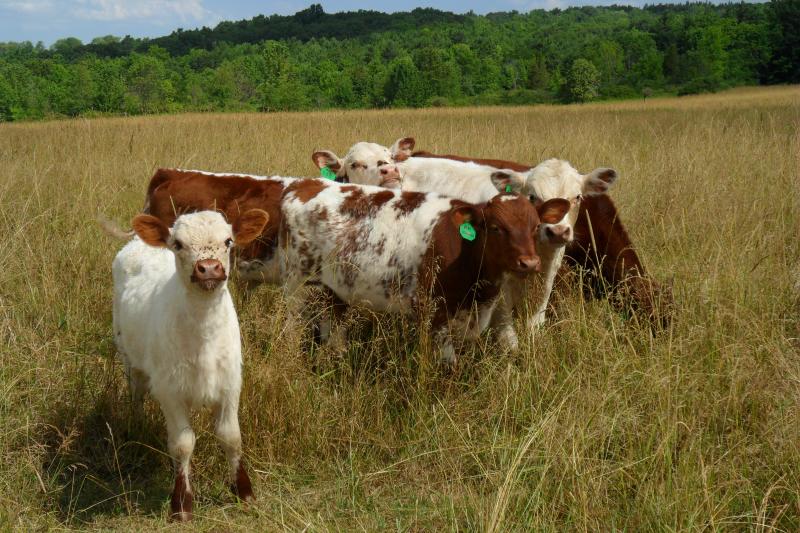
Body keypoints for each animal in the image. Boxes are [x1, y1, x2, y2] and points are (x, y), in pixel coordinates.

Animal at [279, 178, 571, 363]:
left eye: (535, 226)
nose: (529, 263)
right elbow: (447, 365)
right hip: (296, 286)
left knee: (333, 329)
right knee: (291, 327)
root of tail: (304, 185)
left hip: (336, 289)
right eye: (496, 227)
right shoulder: (432, 313)